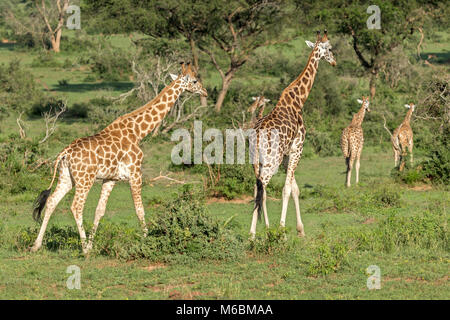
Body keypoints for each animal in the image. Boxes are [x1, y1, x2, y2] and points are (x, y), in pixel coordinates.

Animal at [30, 62, 207, 252]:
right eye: (195, 80)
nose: (205, 92)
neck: (138, 132)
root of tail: (65, 153)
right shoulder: (136, 174)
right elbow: (139, 209)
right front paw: (147, 241)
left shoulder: (111, 179)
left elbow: (99, 211)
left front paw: (92, 244)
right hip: (85, 179)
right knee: (76, 207)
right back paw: (83, 249)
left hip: (67, 177)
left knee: (52, 201)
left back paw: (36, 245)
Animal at [250, 31, 338, 239]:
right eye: (330, 48)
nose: (334, 62)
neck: (299, 100)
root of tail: (256, 138)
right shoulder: (298, 148)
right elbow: (287, 189)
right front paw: (282, 230)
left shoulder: (287, 154)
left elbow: (295, 188)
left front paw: (300, 229)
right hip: (270, 162)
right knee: (262, 189)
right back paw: (259, 232)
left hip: (256, 162)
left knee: (257, 189)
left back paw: (257, 232)